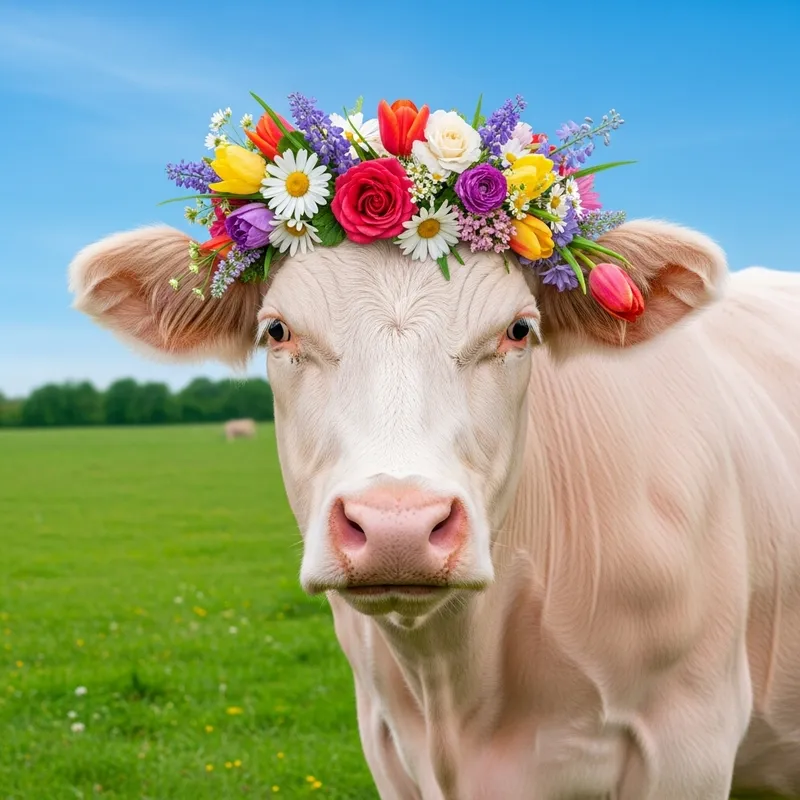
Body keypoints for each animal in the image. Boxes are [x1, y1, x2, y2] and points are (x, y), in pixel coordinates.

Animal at [68, 220, 800, 799]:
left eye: (519, 330)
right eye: (277, 330)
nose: (399, 527)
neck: (460, 689)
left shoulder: (690, 737)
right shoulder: (388, 741)